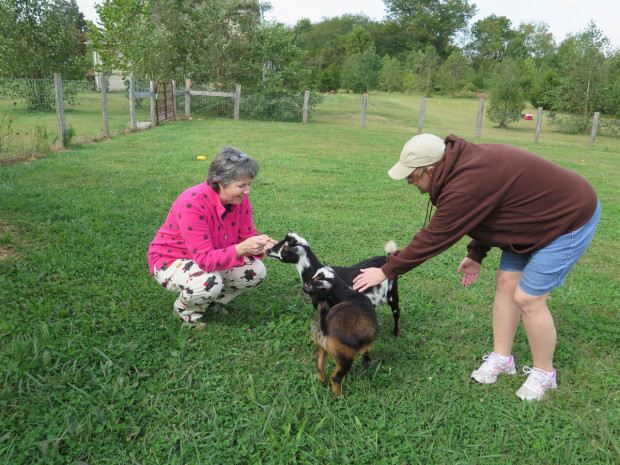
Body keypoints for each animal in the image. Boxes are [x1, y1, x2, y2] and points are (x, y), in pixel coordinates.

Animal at [266, 230, 402, 336]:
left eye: (285, 248)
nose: (268, 250)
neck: (315, 271)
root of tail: (387, 257)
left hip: (393, 293)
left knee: (396, 311)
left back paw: (396, 334)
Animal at [302, 264, 378, 396]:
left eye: (314, 282)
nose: (304, 287)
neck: (351, 296)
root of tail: (324, 327)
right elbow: (366, 349)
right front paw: (367, 361)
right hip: (345, 358)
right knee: (336, 377)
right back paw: (338, 396)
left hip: (321, 348)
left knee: (320, 367)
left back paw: (324, 382)